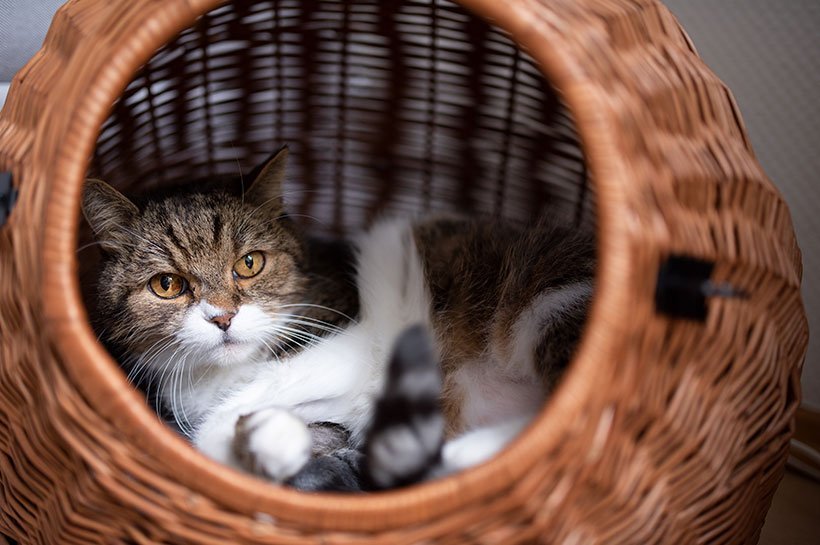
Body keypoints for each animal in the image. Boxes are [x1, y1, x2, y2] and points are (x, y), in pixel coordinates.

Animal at [83, 146, 592, 488]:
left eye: (249, 263)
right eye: (167, 284)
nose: (223, 318)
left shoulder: (350, 341)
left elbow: (230, 414)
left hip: (556, 298)